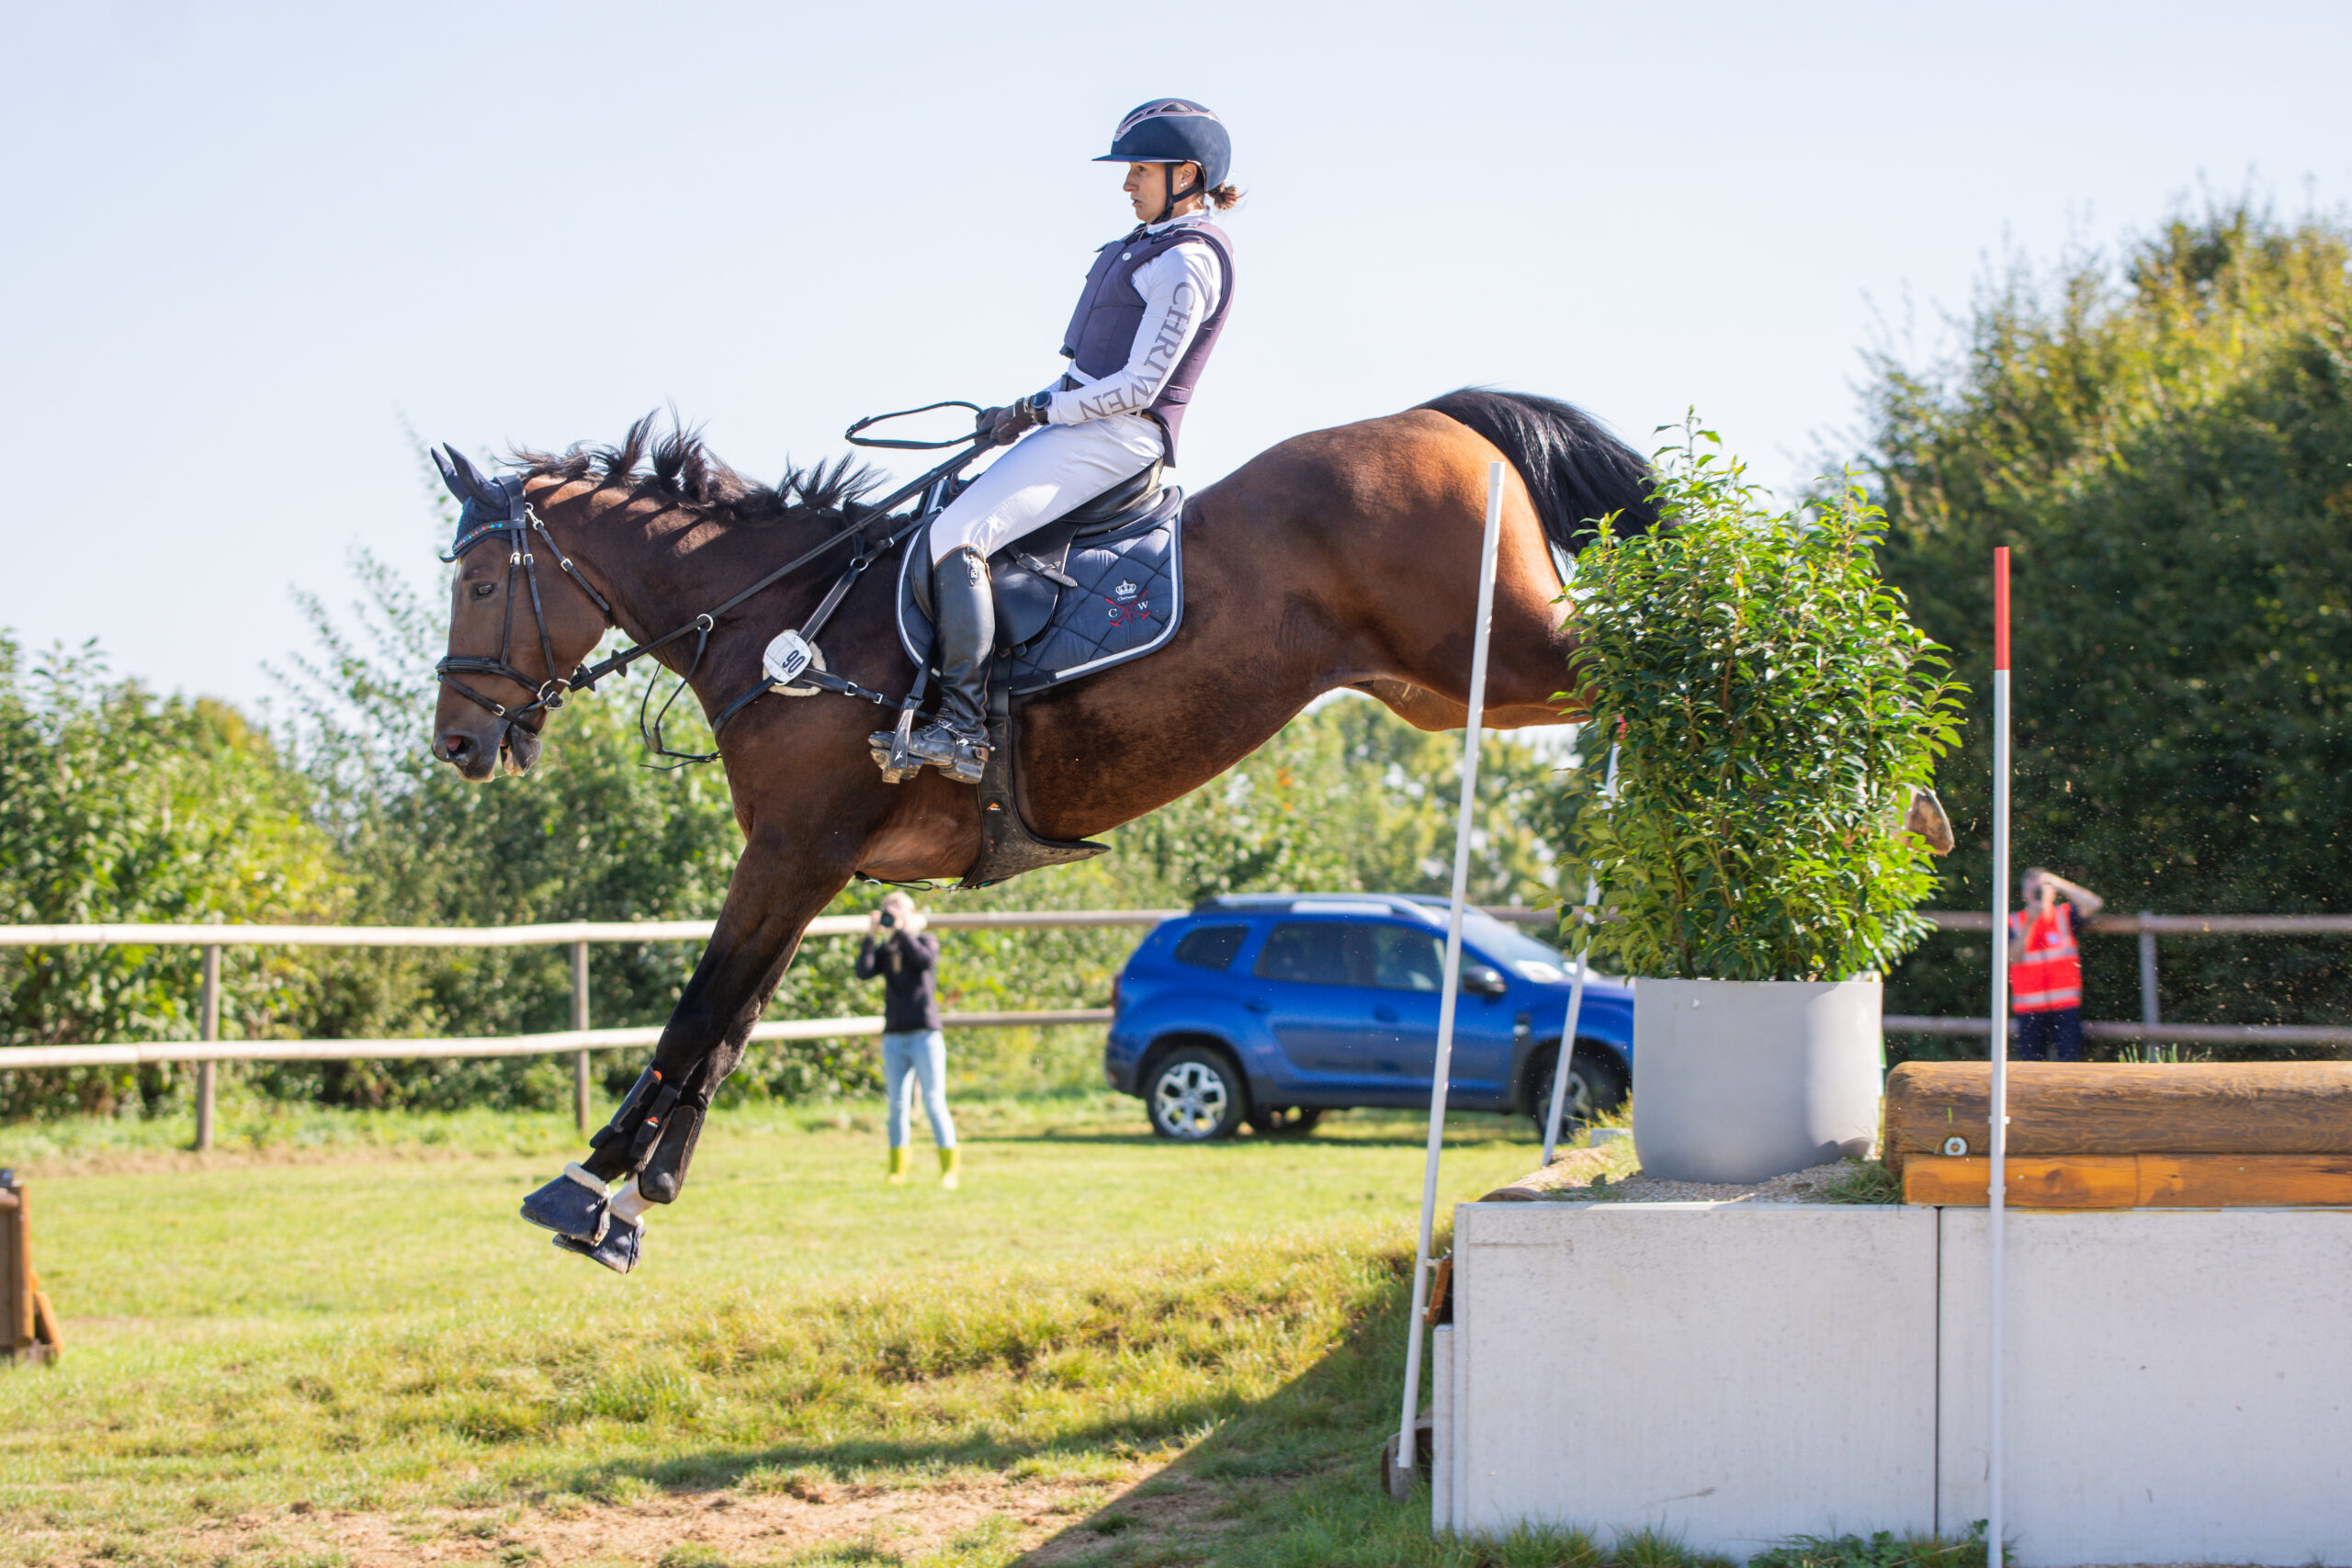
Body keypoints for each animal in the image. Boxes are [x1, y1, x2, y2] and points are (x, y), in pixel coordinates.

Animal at [430, 389, 1657, 1268]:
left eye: (483, 584)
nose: (456, 744)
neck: (782, 624)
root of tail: (1442, 417)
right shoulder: (808, 865)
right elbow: (730, 1026)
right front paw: (640, 1195)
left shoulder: (792, 852)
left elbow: (700, 1013)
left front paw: (589, 1186)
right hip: (1446, 690)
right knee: (1611, 684)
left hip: (1506, 651)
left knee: (1649, 659)